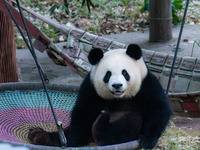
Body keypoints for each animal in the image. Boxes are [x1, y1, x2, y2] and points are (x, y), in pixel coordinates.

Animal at [27, 43, 172, 149]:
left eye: (125, 73)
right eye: (108, 74)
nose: (117, 85)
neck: (118, 97)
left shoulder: (146, 83)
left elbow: (158, 108)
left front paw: (147, 139)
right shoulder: (91, 87)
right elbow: (83, 113)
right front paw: (76, 142)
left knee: (129, 123)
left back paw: (101, 127)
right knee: (65, 132)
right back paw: (39, 135)